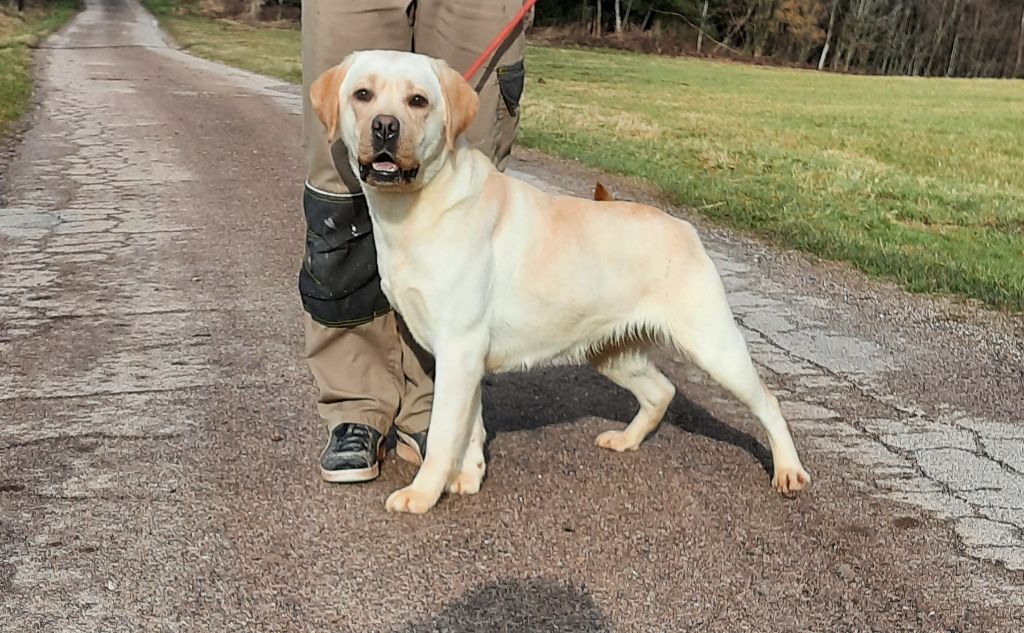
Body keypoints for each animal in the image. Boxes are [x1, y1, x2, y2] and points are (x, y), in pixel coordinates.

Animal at [309, 50, 806, 512]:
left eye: (418, 101)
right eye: (363, 95)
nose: (385, 127)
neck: (419, 206)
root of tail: (685, 228)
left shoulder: (459, 348)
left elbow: (447, 432)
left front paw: (423, 494)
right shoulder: (462, 356)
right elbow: (470, 428)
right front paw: (468, 477)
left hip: (714, 346)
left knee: (768, 402)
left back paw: (788, 472)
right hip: (612, 352)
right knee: (662, 391)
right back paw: (626, 440)